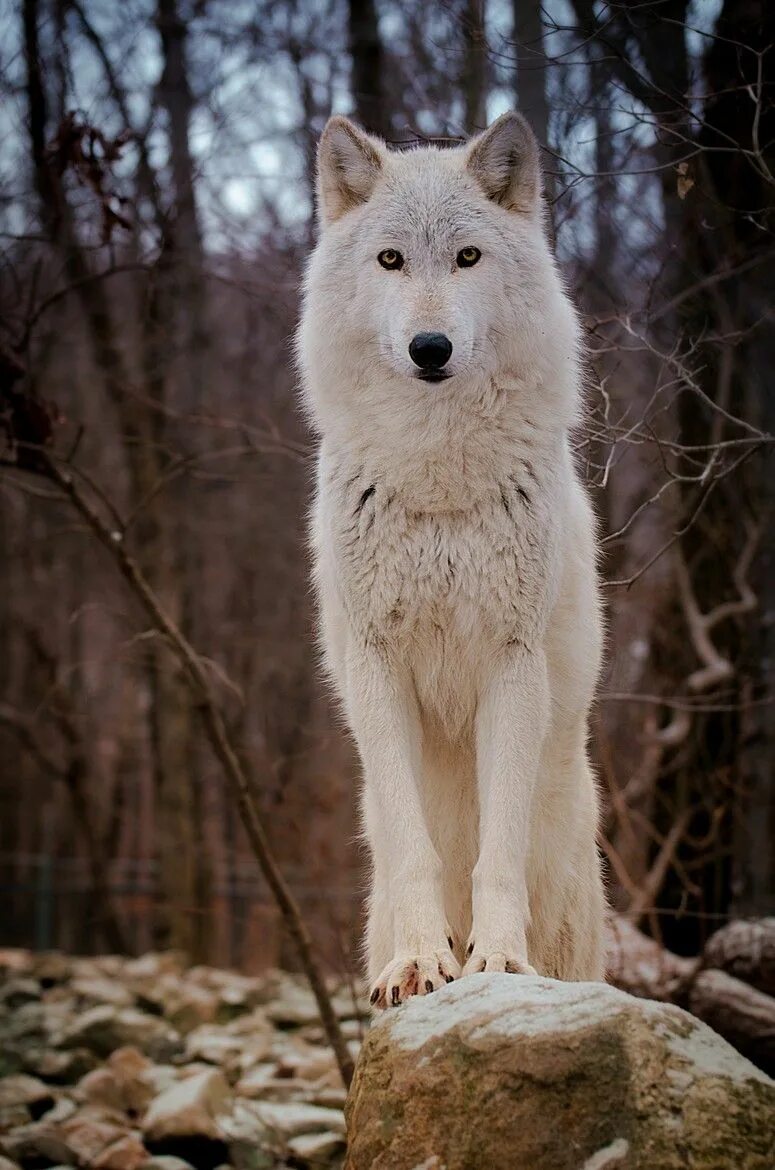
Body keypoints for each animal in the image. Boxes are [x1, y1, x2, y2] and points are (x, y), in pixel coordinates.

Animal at [297, 107, 608, 1006]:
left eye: (467, 257)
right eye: (390, 260)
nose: (429, 346)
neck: (436, 480)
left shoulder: (512, 662)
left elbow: (493, 854)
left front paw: (496, 961)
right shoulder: (377, 665)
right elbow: (417, 853)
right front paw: (420, 962)